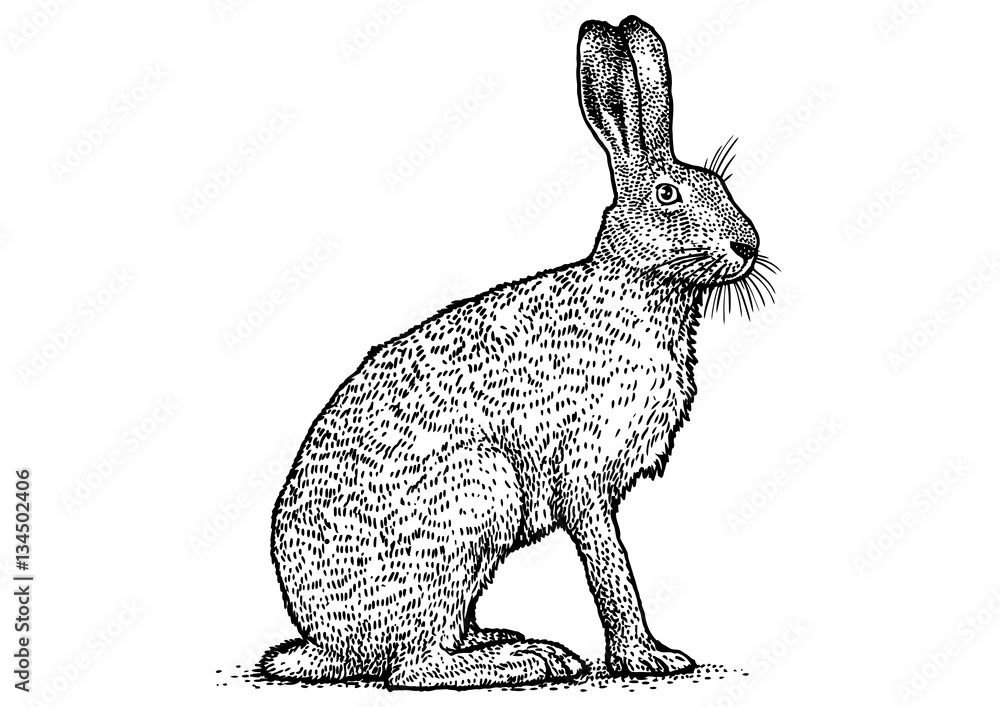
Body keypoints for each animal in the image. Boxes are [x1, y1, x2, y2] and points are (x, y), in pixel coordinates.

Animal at [262, 15, 772, 689]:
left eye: (721, 185)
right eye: (667, 197)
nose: (749, 245)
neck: (638, 282)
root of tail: (329, 642)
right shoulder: (584, 478)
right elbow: (611, 570)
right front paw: (647, 659)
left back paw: (503, 639)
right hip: (471, 508)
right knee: (416, 664)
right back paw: (531, 659)